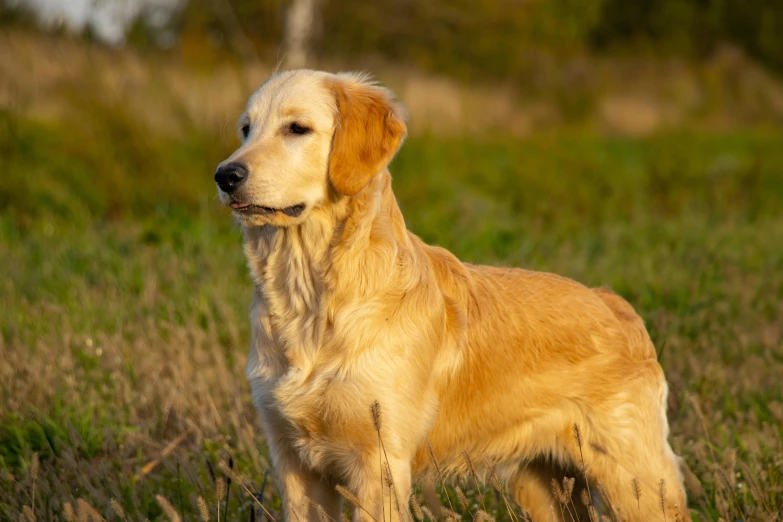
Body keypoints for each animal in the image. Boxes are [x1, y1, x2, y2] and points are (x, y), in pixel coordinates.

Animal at [216, 70, 692, 520]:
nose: (225, 175)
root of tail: (613, 302)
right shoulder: (295, 464)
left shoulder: (379, 463)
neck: (311, 296)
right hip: (544, 486)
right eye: (246, 129)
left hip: (637, 484)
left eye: (297, 128)